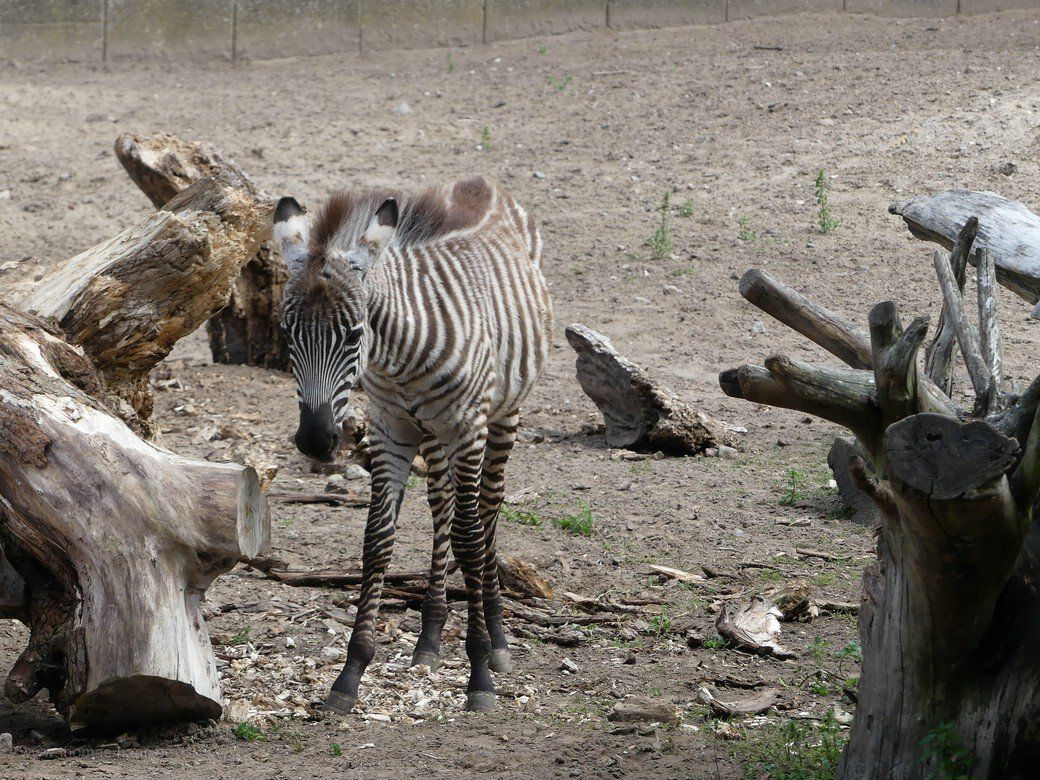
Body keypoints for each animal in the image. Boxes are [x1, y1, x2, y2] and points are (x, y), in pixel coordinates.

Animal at [273, 177, 553, 713]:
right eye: (287, 333)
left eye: (353, 334)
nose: (316, 441)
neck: (398, 357)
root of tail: (482, 185)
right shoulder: (391, 430)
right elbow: (377, 541)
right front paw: (351, 674)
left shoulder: (467, 427)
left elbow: (469, 539)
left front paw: (479, 674)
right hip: (434, 434)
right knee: (443, 505)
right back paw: (429, 637)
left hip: (501, 416)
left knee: (486, 511)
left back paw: (497, 638)